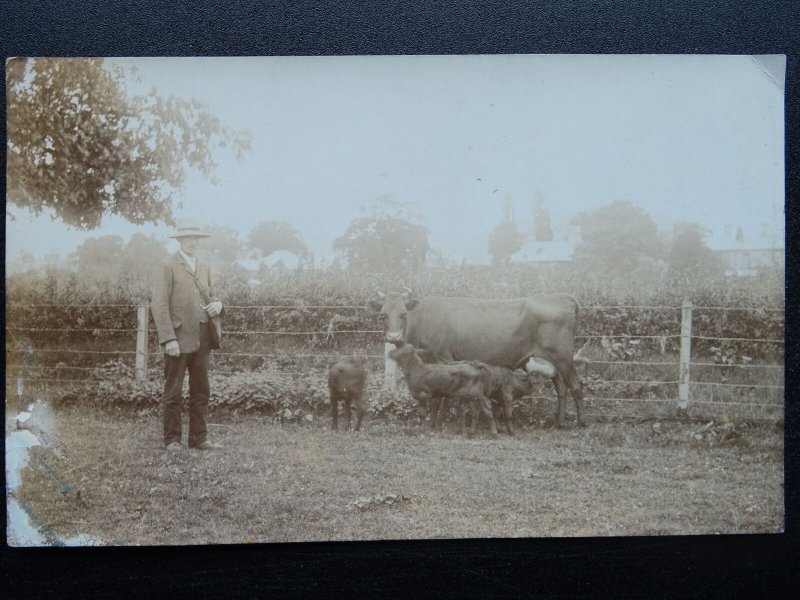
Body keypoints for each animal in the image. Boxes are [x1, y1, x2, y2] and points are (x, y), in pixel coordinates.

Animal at [370, 290, 588, 426]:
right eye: (383, 315)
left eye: (403, 314)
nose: (393, 337)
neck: (423, 319)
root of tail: (558, 295)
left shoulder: (442, 359)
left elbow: (440, 397)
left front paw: (435, 424)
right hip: (551, 360)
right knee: (561, 389)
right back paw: (559, 422)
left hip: (563, 357)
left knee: (576, 387)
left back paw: (582, 422)